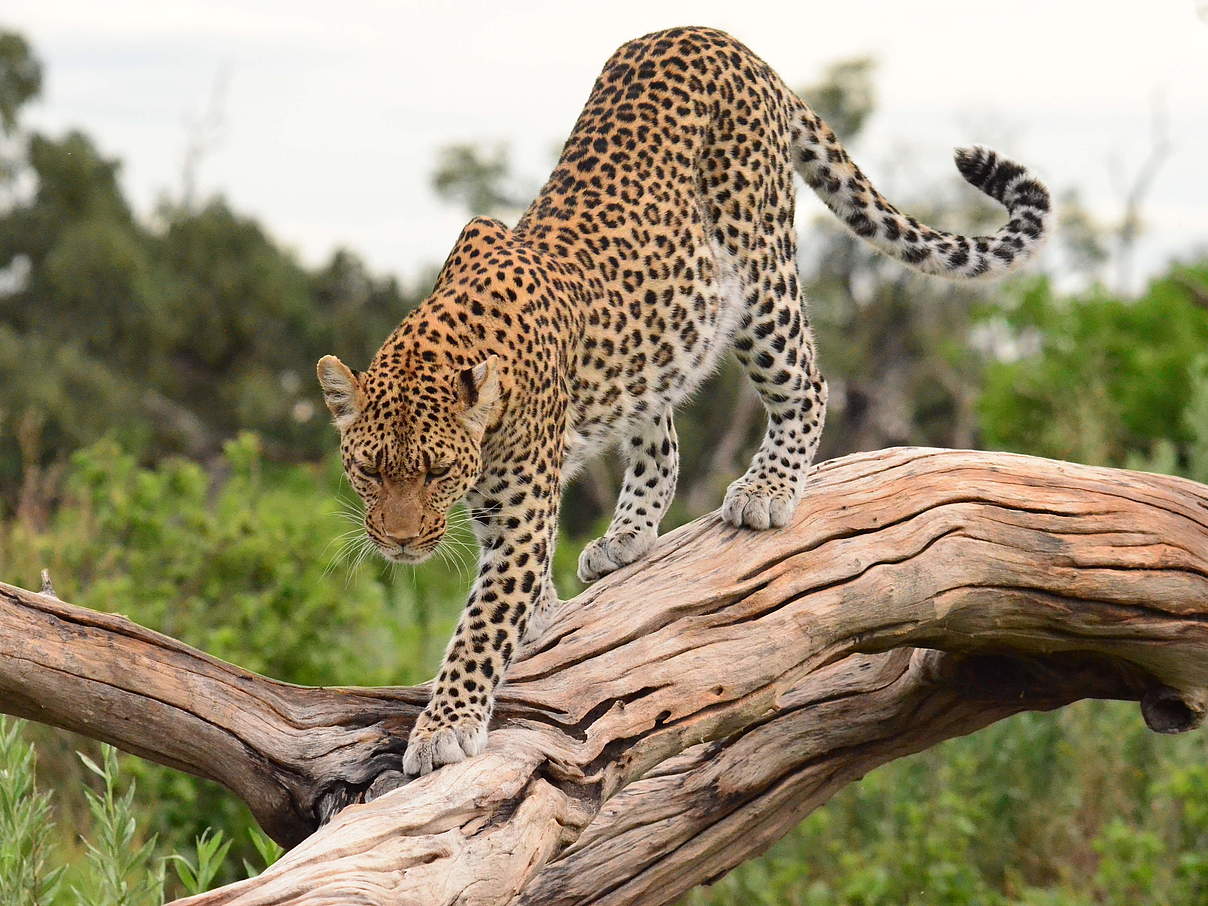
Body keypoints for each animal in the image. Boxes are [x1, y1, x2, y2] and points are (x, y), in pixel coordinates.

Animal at [316, 26, 1053, 782]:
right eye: (370, 470)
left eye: (434, 473)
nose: (400, 543)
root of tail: (718, 36)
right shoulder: (500, 506)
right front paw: (540, 613)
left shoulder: (521, 513)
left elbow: (482, 624)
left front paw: (446, 727)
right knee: (663, 437)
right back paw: (627, 535)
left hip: (760, 275)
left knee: (807, 385)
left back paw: (766, 491)